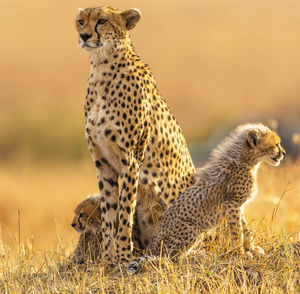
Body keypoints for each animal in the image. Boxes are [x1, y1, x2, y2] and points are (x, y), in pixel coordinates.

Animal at [76, 6, 196, 262]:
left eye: (101, 21)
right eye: (80, 21)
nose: (84, 36)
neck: (101, 66)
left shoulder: (131, 160)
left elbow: (124, 211)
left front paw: (122, 255)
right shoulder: (103, 162)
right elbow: (109, 211)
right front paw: (108, 258)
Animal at [127, 123, 284, 272]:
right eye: (276, 144)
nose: (283, 153)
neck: (246, 160)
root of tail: (151, 248)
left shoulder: (238, 206)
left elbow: (245, 228)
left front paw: (251, 248)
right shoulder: (232, 205)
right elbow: (237, 231)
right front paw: (241, 254)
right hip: (191, 228)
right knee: (172, 258)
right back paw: (197, 257)